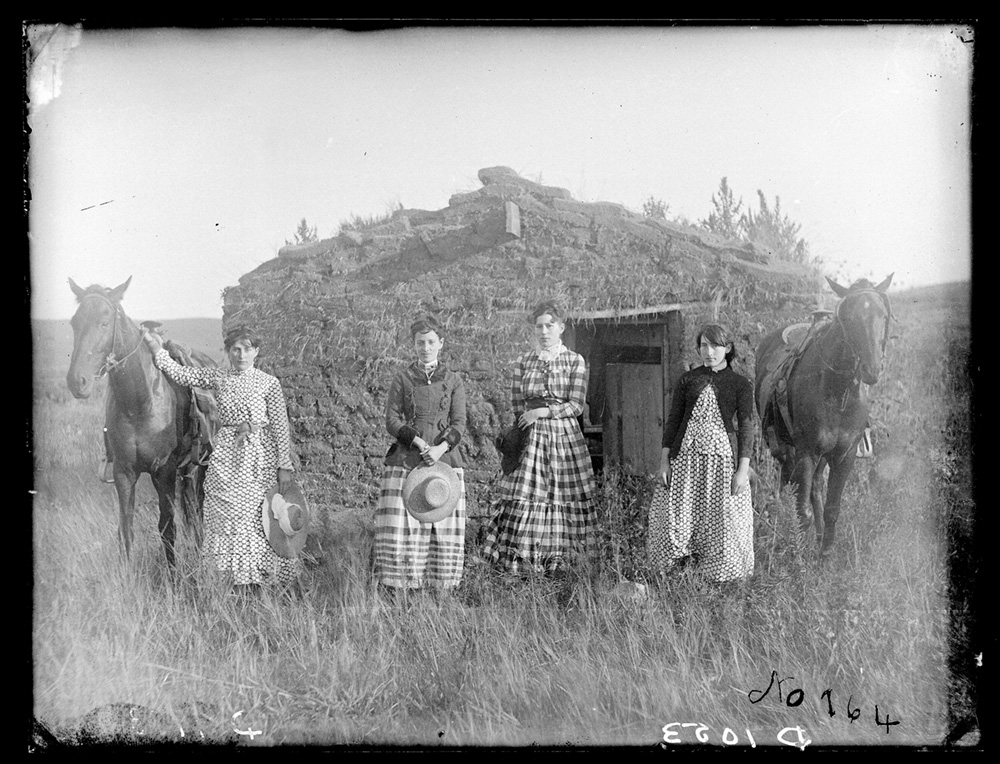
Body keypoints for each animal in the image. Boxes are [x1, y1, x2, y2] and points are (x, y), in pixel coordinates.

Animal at [65, 278, 218, 564]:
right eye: (74, 322)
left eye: (105, 322)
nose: (77, 381)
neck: (140, 404)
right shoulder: (124, 473)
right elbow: (126, 530)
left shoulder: (163, 471)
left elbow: (167, 527)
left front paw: (173, 573)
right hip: (187, 469)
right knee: (192, 508)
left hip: (202, 465)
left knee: (198, 509)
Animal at [752, 278, 896, 552]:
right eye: (847, 317)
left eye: (883, 315)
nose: (871, 369)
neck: (838, 392)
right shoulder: (806, 451)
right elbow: (802, 512)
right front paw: (798, 555)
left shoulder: (844, 456)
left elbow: (832, 509)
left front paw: (825, 552)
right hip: (786, 447)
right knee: (788, 482)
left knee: (815, 486)